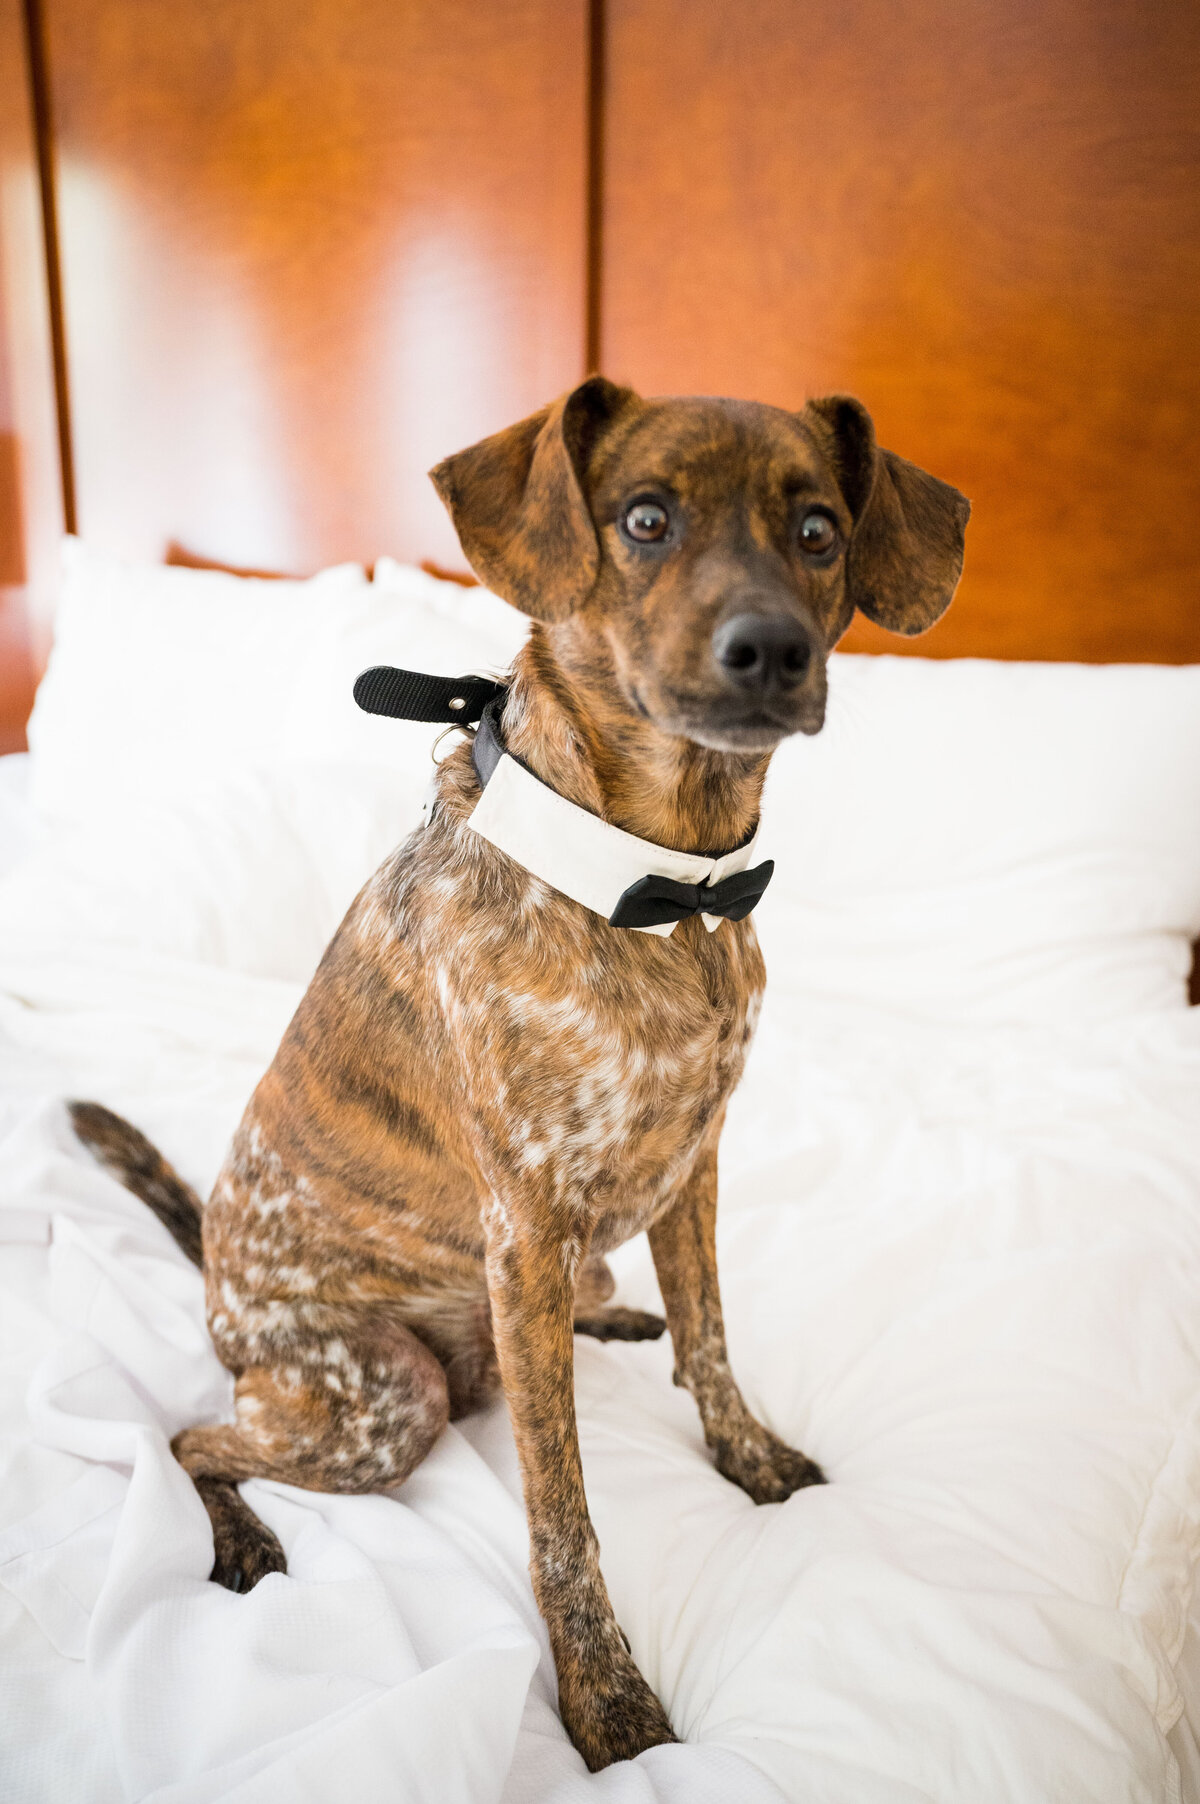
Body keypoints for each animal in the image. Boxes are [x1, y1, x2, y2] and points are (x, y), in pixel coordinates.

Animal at [70, 380, 967, 1775]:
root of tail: (214, 1277)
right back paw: (240, 1530)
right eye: (645, 519)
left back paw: (612, 1317)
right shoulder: (527, 1222)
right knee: (188, 1434)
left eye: (820, 530)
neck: (665, 893)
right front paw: (606, 1701)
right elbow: (562, 1506)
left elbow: (714, 1340)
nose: (771, 651)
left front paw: (747, 1454)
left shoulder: (694, 1162)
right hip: (385, 1396)